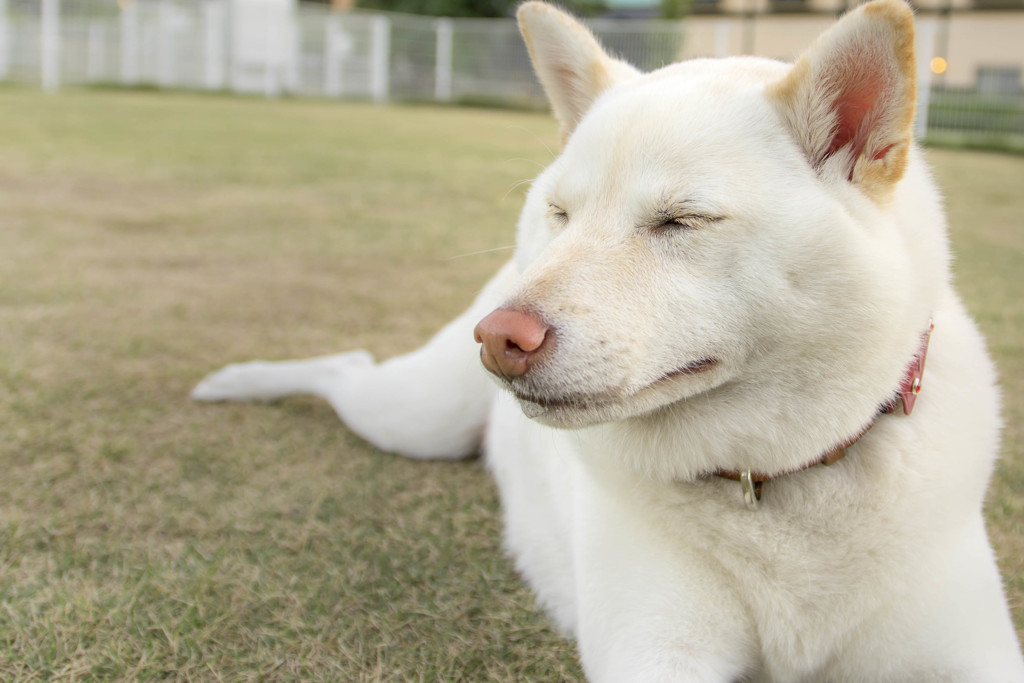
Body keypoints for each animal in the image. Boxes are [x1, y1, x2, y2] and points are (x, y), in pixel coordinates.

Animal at [192, 1, 1024, 679]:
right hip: (413, 419)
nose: (499, 338)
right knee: (346, 366)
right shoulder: (655, 650)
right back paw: (235, 380)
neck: (771, 481)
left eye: (681, 220)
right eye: (562, 213)